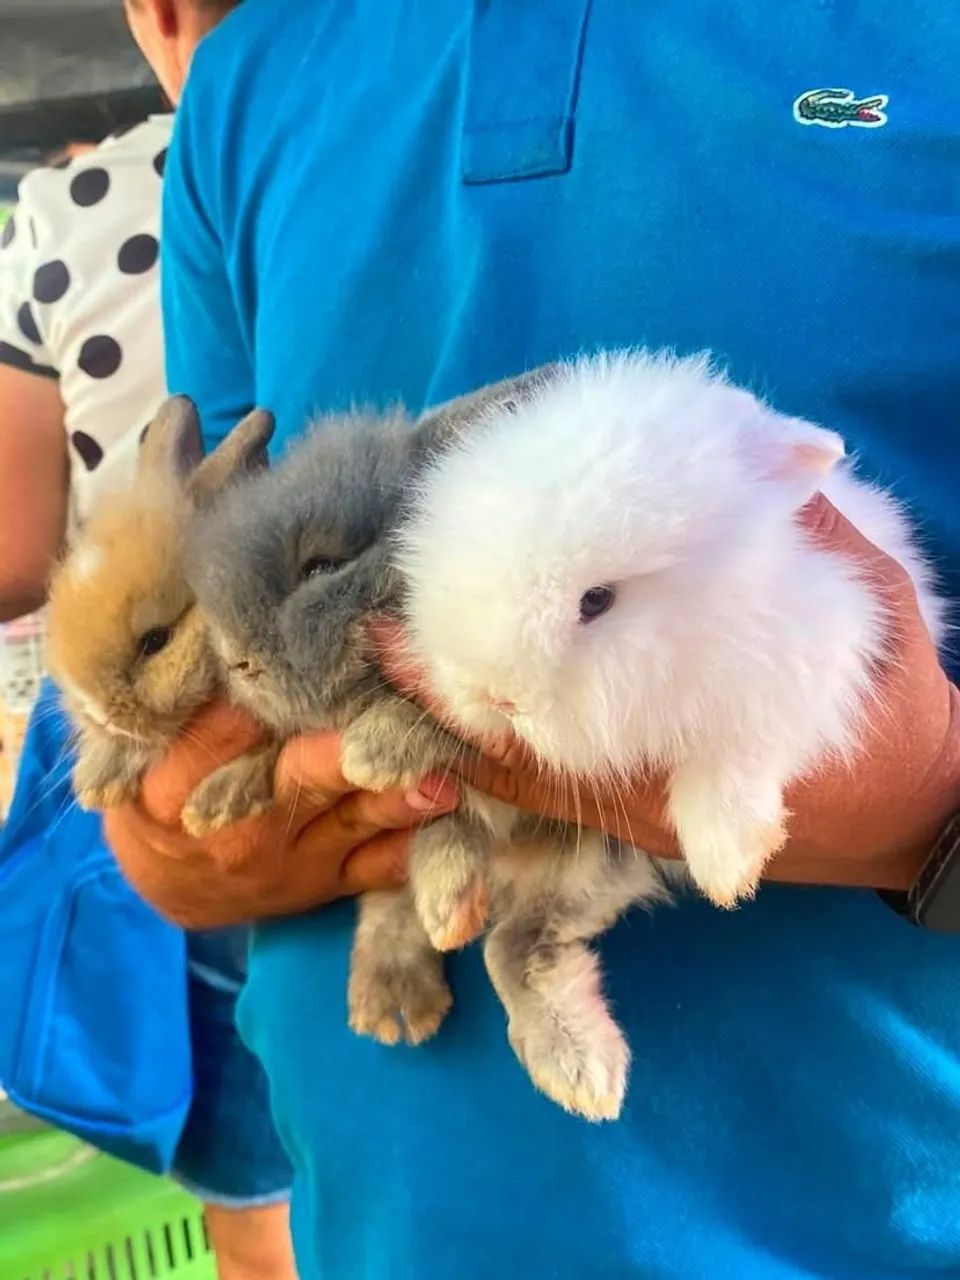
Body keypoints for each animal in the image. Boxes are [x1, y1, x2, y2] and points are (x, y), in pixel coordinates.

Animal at [185, 379, 666, 1121]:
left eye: (322, 565)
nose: (236, 659)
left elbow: (452, 721)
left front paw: (375, 749)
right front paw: (215, 798)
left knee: (509, 943)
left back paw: (574, 1068)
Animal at [396, 348, 949, 912]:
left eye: (598, 599)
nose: (496, 698)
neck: (694, 630)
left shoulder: (812, 671)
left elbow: (734, 760)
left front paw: (728, 865)